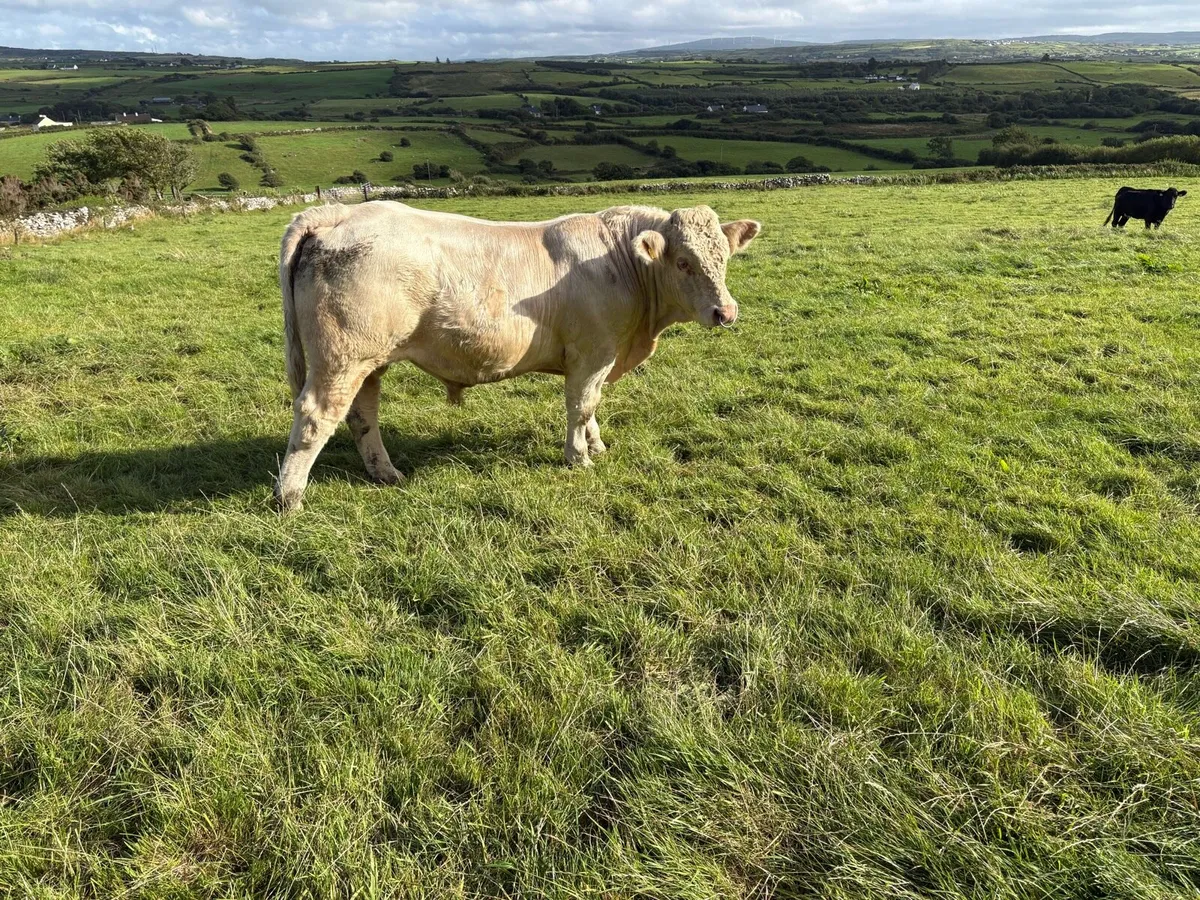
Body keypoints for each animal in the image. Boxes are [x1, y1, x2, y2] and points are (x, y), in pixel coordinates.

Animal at [273, 201, 761, 511]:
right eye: (683, 262)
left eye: (724, 257)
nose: (725, 312)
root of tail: (338, 211)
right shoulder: (592, 352)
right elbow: (581, 406)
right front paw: (579, 457)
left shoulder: (600, 357)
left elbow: (592, 407)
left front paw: (596, 445)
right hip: (342, 358)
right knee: (316, 416)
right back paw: (289, 497)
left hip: (368, 360)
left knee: (363, 415)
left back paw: (386, 473)